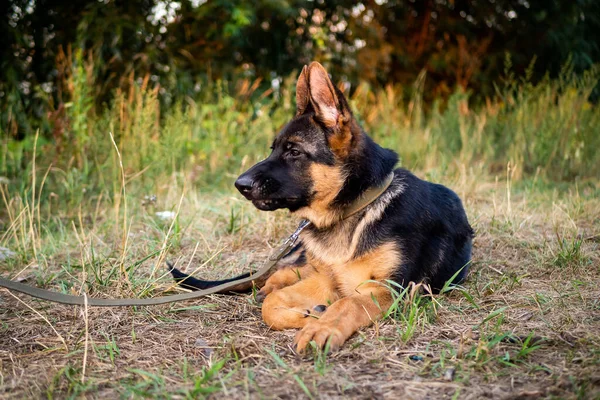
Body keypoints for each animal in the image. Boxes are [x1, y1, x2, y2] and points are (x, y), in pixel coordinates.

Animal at [170, 61, 474, 352]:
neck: (356, 210)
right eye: (273, 149)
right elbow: (272, 305)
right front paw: (310, 315)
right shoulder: (326, 280)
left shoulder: (388, 289)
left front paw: (322, 326)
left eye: (294, 151)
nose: (239, 184)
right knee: (282, 273)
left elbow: (346, 303)